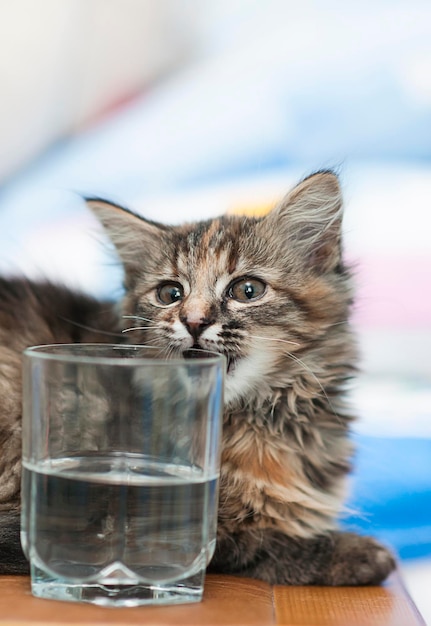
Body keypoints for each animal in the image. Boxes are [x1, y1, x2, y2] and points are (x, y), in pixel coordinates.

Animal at [0, 169, 398, 580]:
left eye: (247, 290)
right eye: (170, 293)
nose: (193, 321)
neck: (261, 419)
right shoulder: (136, 515)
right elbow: (257, 540)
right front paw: (359, 553)